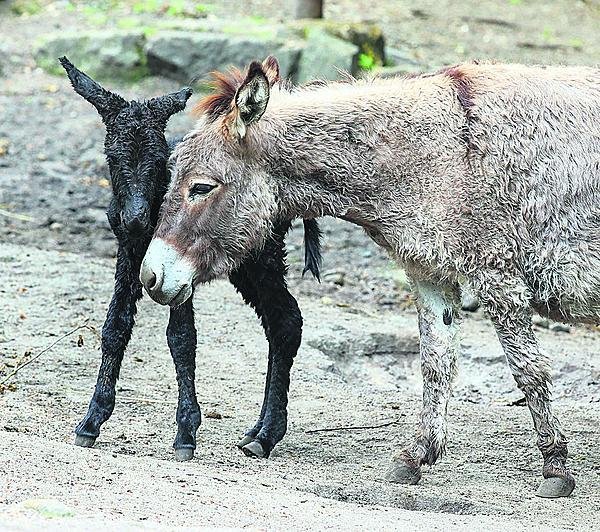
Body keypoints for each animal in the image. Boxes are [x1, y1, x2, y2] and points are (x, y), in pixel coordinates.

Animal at [60, 57, 322, 458]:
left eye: (158, 161)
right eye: (112, 158)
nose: (135, 219)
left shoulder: (174, 268)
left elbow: (181, 337)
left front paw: (186, 432)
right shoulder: (130, 254)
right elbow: (115, 327)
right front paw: (92, 420)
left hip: (259, 255)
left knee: (287, 321)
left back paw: (266, 433)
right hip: (242, 265)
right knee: (281, 321)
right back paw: (259, 431)